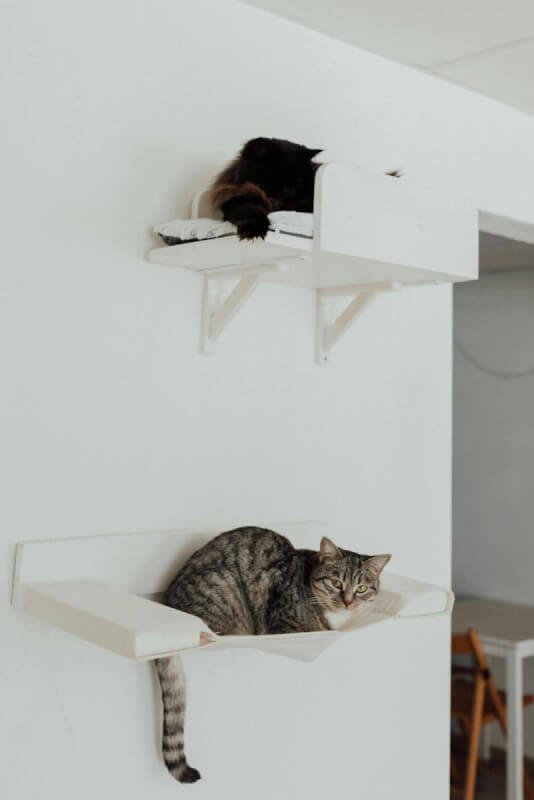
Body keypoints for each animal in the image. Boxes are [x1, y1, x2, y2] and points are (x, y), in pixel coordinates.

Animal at [157, 524, 392, 780]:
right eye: (336, 583)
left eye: (361, 589)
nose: (348, 602)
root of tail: (167, 605)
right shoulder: (280, 617)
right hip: (224, 587)